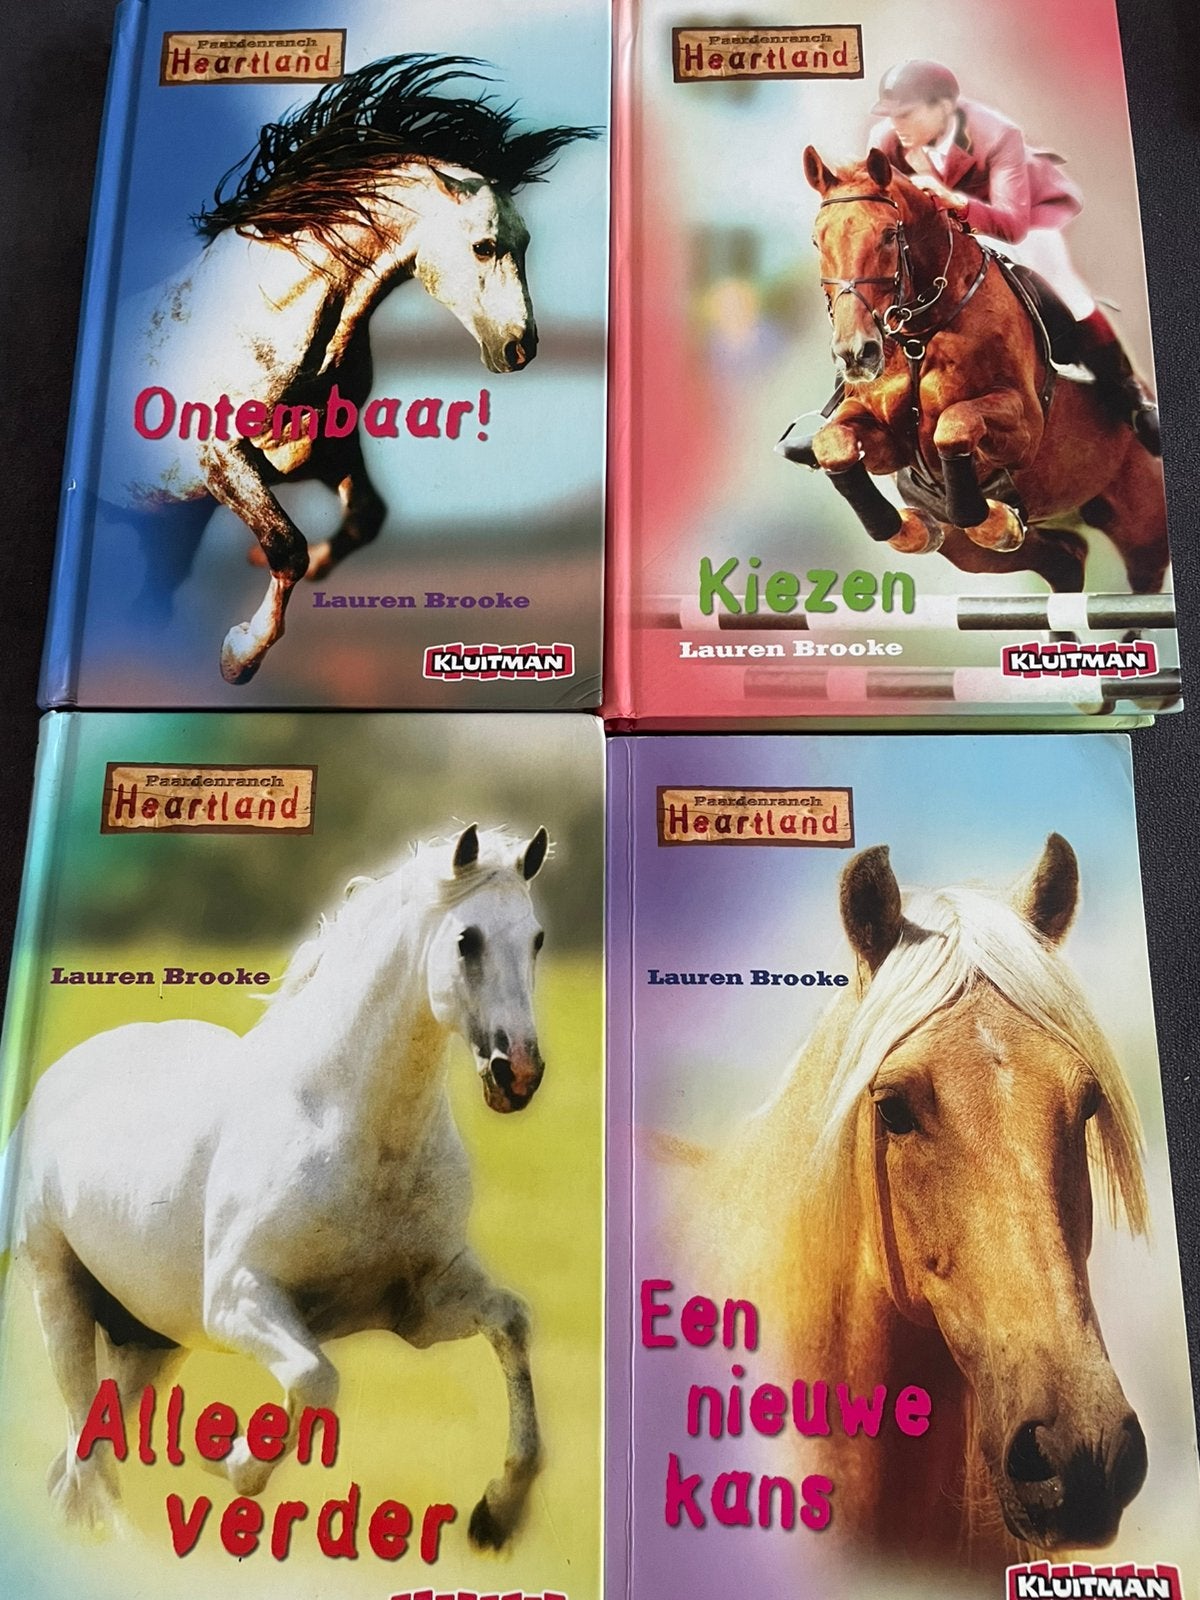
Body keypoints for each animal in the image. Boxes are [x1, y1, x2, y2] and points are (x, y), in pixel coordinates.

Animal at [12, 822, 551, 1548]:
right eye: (468, 939)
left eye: (537, 938)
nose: (516, 1073)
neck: (350, 1127)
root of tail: (62, 1073)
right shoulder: (239, 1299)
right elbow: (316, 1378)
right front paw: (229, 1461)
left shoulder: (422, 1306)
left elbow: (512, 1322)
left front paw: (497, 1514)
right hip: (61, 1296)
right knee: (91, 1464)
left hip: (150, 1340)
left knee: (74, 1471)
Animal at [112, 56, 596, 683]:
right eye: (485, 246)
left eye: (527, 241)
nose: (521, 348)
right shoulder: (219, 460)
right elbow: (286, 545)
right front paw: (239, 656)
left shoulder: (326, 447)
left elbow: (364, 517)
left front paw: (297, 569)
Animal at [779, 147, 1169, 598]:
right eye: (817, 240)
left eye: (889, 235)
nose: (857, 353)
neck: (919, 335)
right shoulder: (886, 441)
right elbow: (834, 443)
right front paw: (909, 528)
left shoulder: (1024, 425)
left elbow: (955, 424)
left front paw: (994, 520)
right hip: (981, 555)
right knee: (1065, 561)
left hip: (1142, 524)